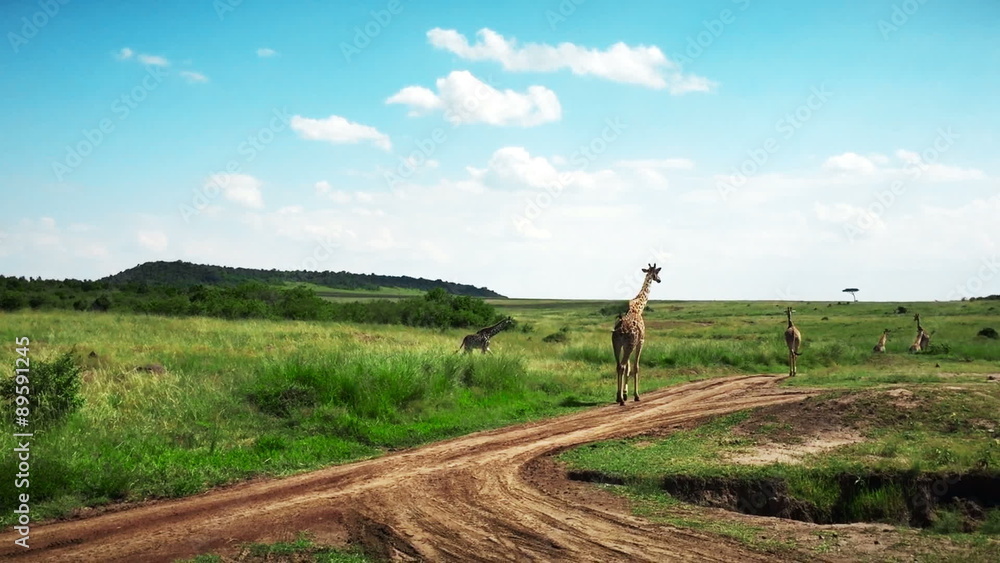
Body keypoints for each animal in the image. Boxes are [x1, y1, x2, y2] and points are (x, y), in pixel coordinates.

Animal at [611, 263, 661, 405]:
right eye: (656, 273)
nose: (659, 280)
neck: (638, 308)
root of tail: (620, 330)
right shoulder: (640, 342)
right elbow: (636, 367)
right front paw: (636, 395)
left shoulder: (626, 345)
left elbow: (629, 368)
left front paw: (625, 393)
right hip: (629, 345)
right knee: (622, 366)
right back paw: (621, 400)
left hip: (616, 345)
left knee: (619, 366)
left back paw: (618, 397)